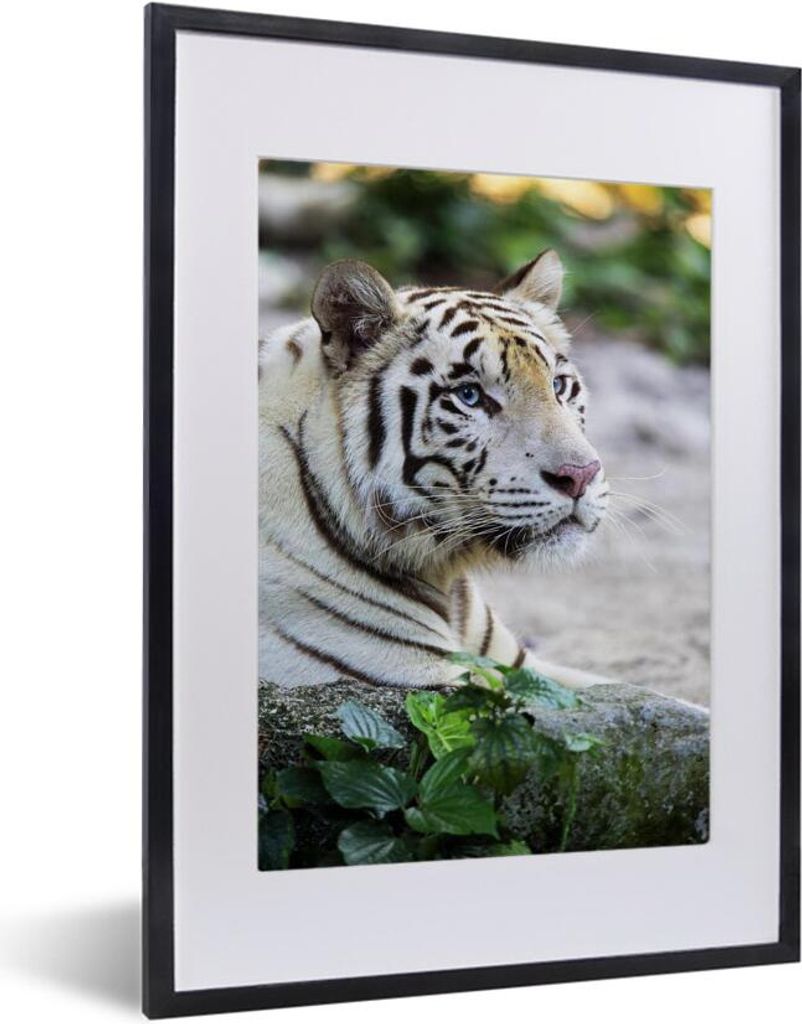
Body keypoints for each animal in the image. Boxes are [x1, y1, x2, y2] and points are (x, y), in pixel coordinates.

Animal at [259, 249, 609, 689]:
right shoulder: (425, 682)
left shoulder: (519, 667)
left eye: (559, 386)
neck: (443, 570)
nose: (581, 475)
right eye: (470, 396)